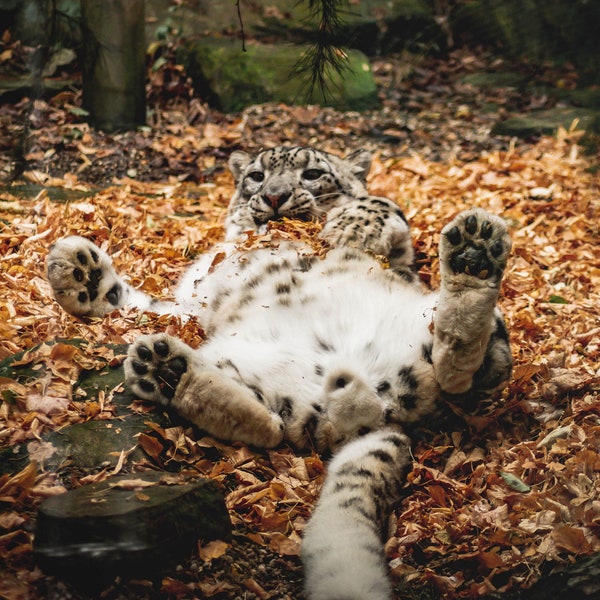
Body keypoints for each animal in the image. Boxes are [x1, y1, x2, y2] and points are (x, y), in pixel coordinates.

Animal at [45, 146, 510, 600]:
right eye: (255, 175)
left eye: (312, 173)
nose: (273, 196)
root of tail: (380, 405)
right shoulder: (188, 307)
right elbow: (138, 307)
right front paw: (80, 272)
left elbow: (380, 202)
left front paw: (348, 229)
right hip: (253, 375)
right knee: (266, 426)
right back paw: (166, 368)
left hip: (457, 329)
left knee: (469, 370)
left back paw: (473, 259)